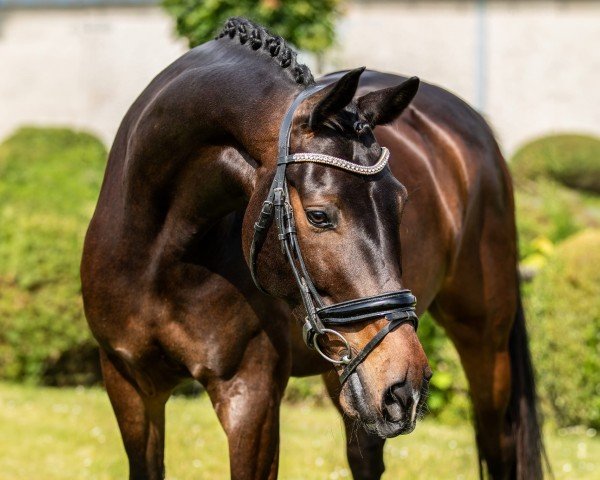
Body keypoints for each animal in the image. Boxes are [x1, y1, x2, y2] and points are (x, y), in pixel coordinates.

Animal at [81, 16, 544, 478]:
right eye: (319, 215)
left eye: (401, 203)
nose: (406, 385)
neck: (161, 253)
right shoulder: (129, 383)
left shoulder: (252, 394)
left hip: (481, 341)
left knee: (498, 442)